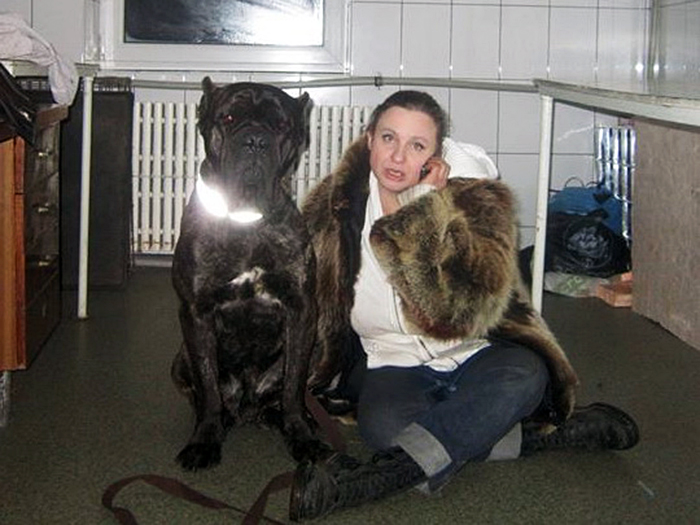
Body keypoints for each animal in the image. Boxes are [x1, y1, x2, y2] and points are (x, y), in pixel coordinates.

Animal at [171, 78, 328, 471]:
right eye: (228, 117)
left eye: (281, 125)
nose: (255, 139)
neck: (246, 220)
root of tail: (248, 408)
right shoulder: (195, 313)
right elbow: (208, 387)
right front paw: (204, 439)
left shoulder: (302, 311)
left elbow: (292, 387)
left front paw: (301, 435)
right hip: (180, 358)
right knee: (204, 394)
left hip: (316, 346)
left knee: (283, 393)